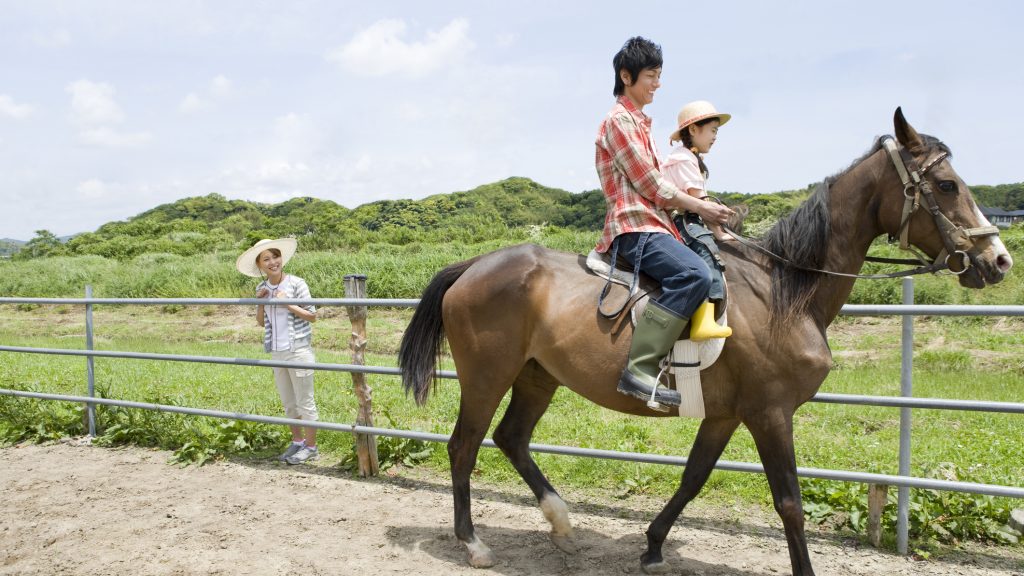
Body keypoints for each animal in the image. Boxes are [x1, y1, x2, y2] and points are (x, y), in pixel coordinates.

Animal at [395, 108, 1011, 573]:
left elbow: (693, 478)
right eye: (946, 185)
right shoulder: (770, 412)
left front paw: (651, 546)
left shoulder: (726, 414)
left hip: (536, 376)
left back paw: (561, 524)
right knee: (464, 446)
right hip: (487, 375)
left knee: (512, 440)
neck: (783, 292)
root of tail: (476, 265)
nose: (998, 260)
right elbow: (790, 502)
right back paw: (473, 542)